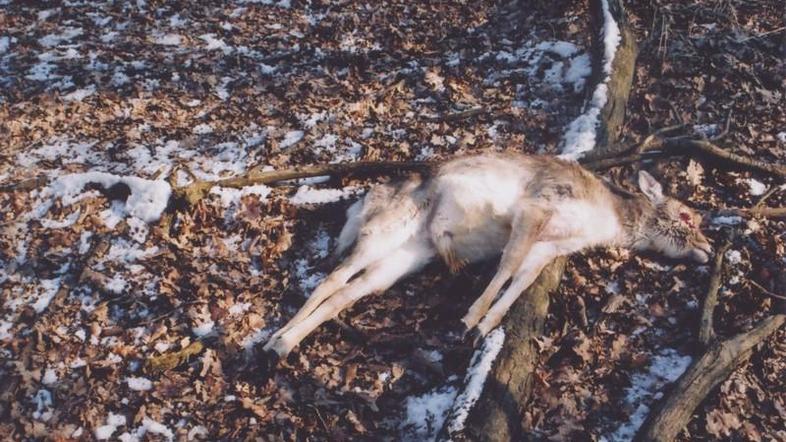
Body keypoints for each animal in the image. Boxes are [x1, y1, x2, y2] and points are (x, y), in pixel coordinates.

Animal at [258, 152, 712, 366]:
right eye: (687, 216)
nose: (709, 248)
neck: (603, 220)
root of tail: (363, 201)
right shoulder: (537, 207)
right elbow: (507, 265)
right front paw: (469, 319)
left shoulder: (550, 247)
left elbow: (521, 281)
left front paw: (485, 326)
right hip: (384, 230)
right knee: (334, 275)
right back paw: (272, 340)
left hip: (404, 259)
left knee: (348, 292)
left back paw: (280, 343)